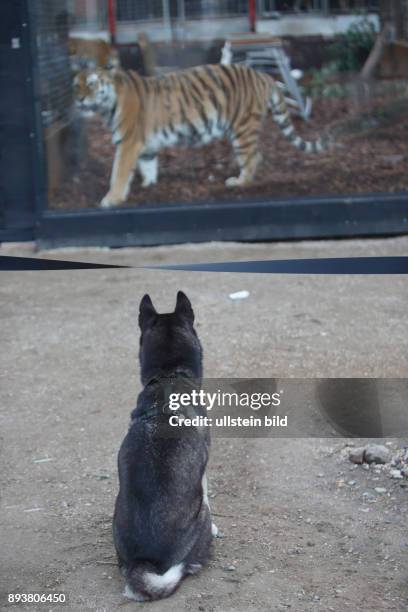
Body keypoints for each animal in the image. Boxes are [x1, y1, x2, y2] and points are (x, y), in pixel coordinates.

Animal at [73, 64, 328, 208]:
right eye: (76, 85)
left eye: (91, 84)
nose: (79, 99)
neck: (107, 106)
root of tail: (262, 75)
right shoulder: (146, 145)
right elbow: (148, 165)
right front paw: (148, 186)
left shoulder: (127, 142)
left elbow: (118, 173)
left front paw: (111, 199)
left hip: (242, 128)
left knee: (253, 157)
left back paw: (239, 182)